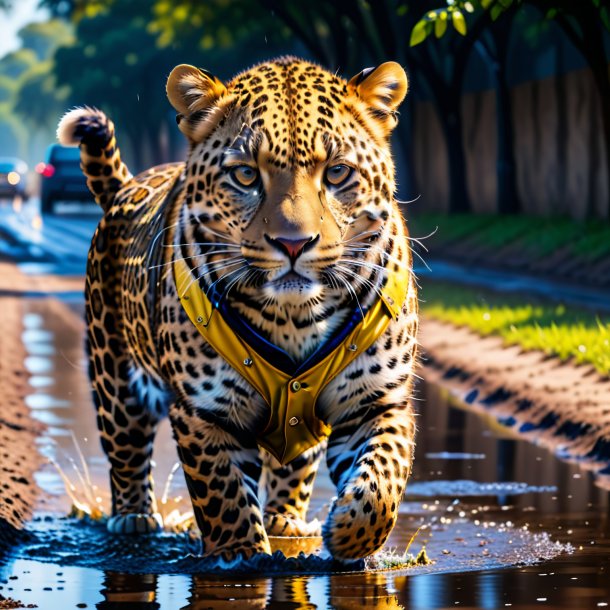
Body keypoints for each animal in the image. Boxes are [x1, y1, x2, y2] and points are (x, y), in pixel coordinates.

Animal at [57, 55, 418, 560]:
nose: (293, 244)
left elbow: (383, 481)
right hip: (115, 374)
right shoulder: (205, 412)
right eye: (245, 175)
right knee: (125, 448)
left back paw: (287, 520)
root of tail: (128, 186)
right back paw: (133, 517)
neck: (294, 318)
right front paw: (241, 552)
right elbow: (222, 491)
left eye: (338, 173)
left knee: (295, 463)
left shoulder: (376, 400)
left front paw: (348, 533)